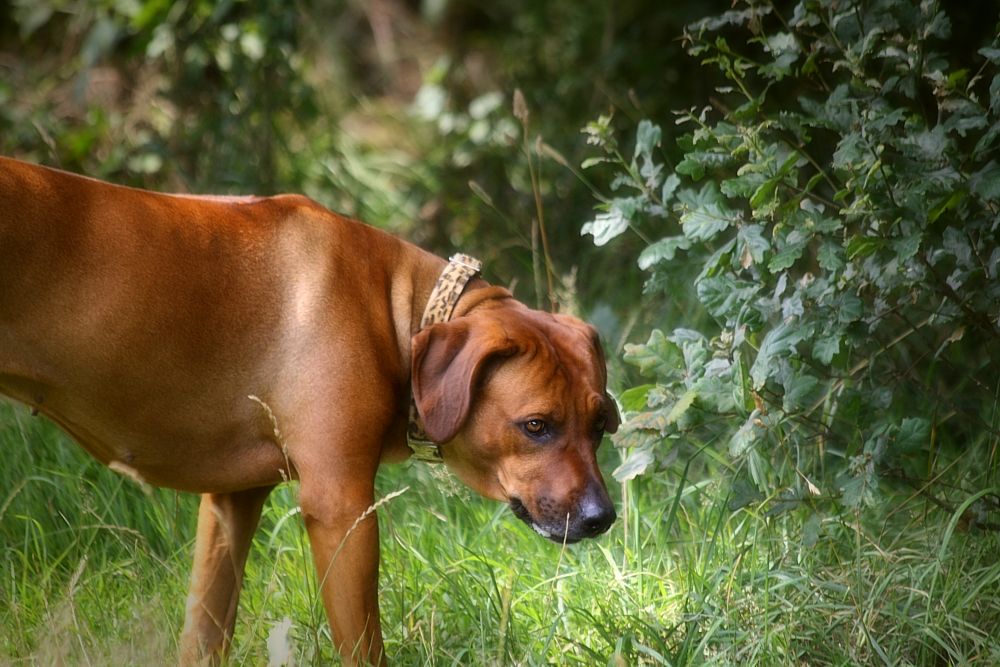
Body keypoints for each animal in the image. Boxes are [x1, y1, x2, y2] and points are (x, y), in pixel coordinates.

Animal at [0, 158, 616, 667]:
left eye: (599, 427)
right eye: (535, 426)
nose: (601, 518)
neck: (396, 310)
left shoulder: (230, 505)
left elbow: (206, 632)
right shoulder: (341, 507)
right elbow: (364, 649)